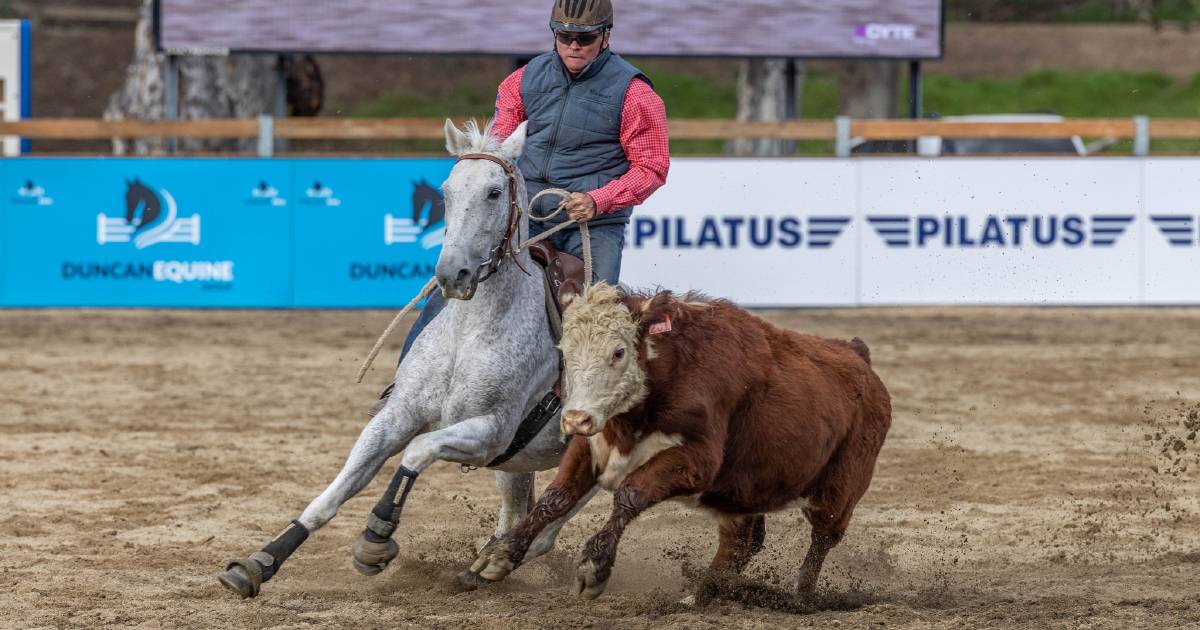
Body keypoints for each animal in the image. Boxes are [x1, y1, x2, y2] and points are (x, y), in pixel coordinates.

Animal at [219, 120, 595, 597]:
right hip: (516, 464)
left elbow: (416, 452)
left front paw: (376, 537)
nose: (452, 273)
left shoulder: (490, 432)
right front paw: (260, 562)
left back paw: (498, 561)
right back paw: (483, 563)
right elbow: (334, 494)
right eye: (447, 190)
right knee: (517, 513)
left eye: (494, 192)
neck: (469, 333)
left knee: (547, 526)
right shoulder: (398, 414)